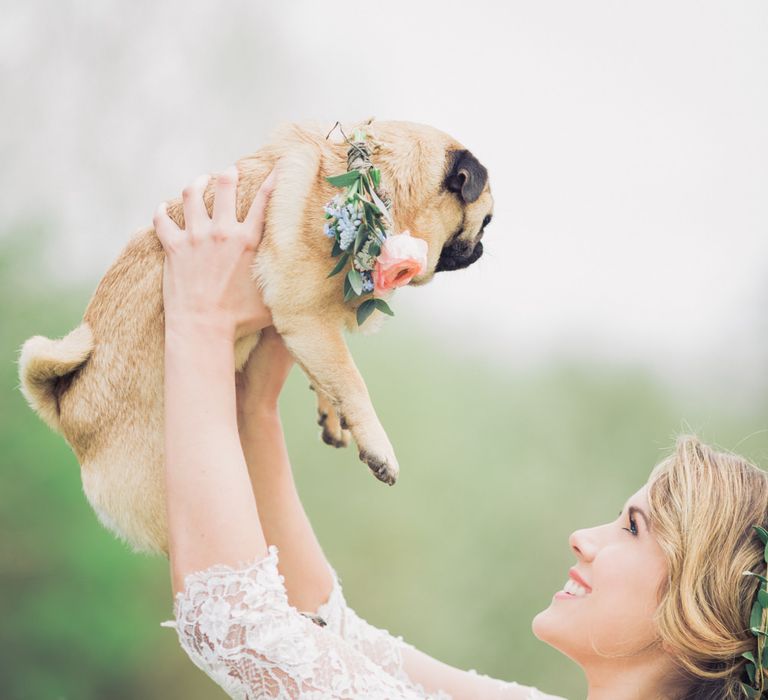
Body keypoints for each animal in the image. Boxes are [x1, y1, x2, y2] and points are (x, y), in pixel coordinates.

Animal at [21, 121, 496, 556]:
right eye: (486, 222)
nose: (482, 248)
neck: (374, 184)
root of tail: (67, 405)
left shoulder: (308, 329)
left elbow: (330, 377)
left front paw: (332, 415)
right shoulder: (304, 316)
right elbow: (351, 380)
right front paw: (378, 447)